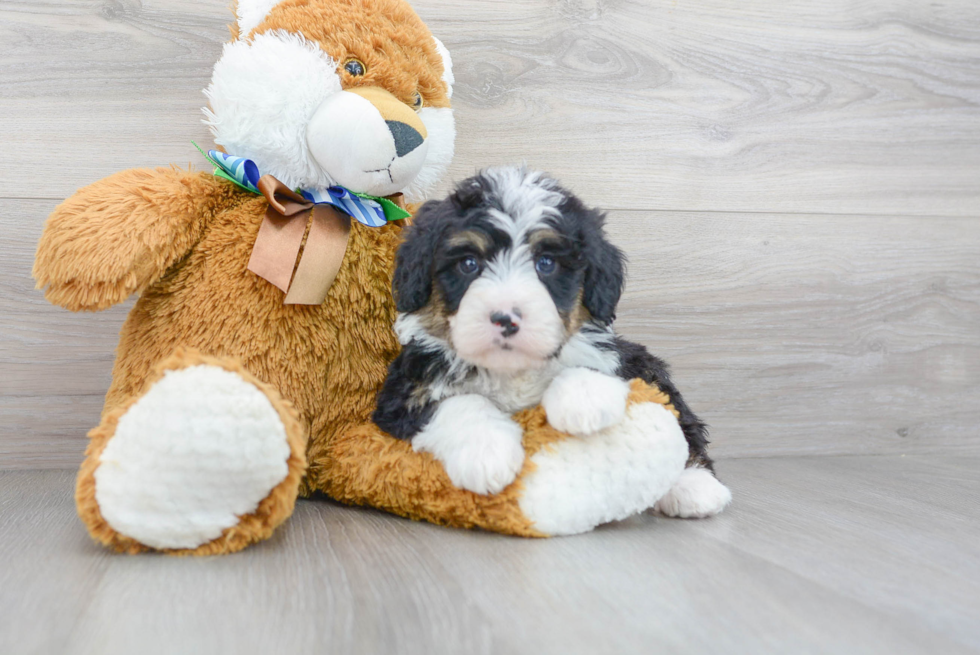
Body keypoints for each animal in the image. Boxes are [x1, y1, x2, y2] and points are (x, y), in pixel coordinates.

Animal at [372, 165, 732, 516]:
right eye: (468, 264)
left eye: (546, 263)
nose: (506, 317)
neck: (512, 371)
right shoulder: (402, 393)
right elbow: (460, 403)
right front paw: (487, 453)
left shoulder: (618, 359)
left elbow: (589, 363)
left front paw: (584, 400)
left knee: (680, 417)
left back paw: (694, 485)